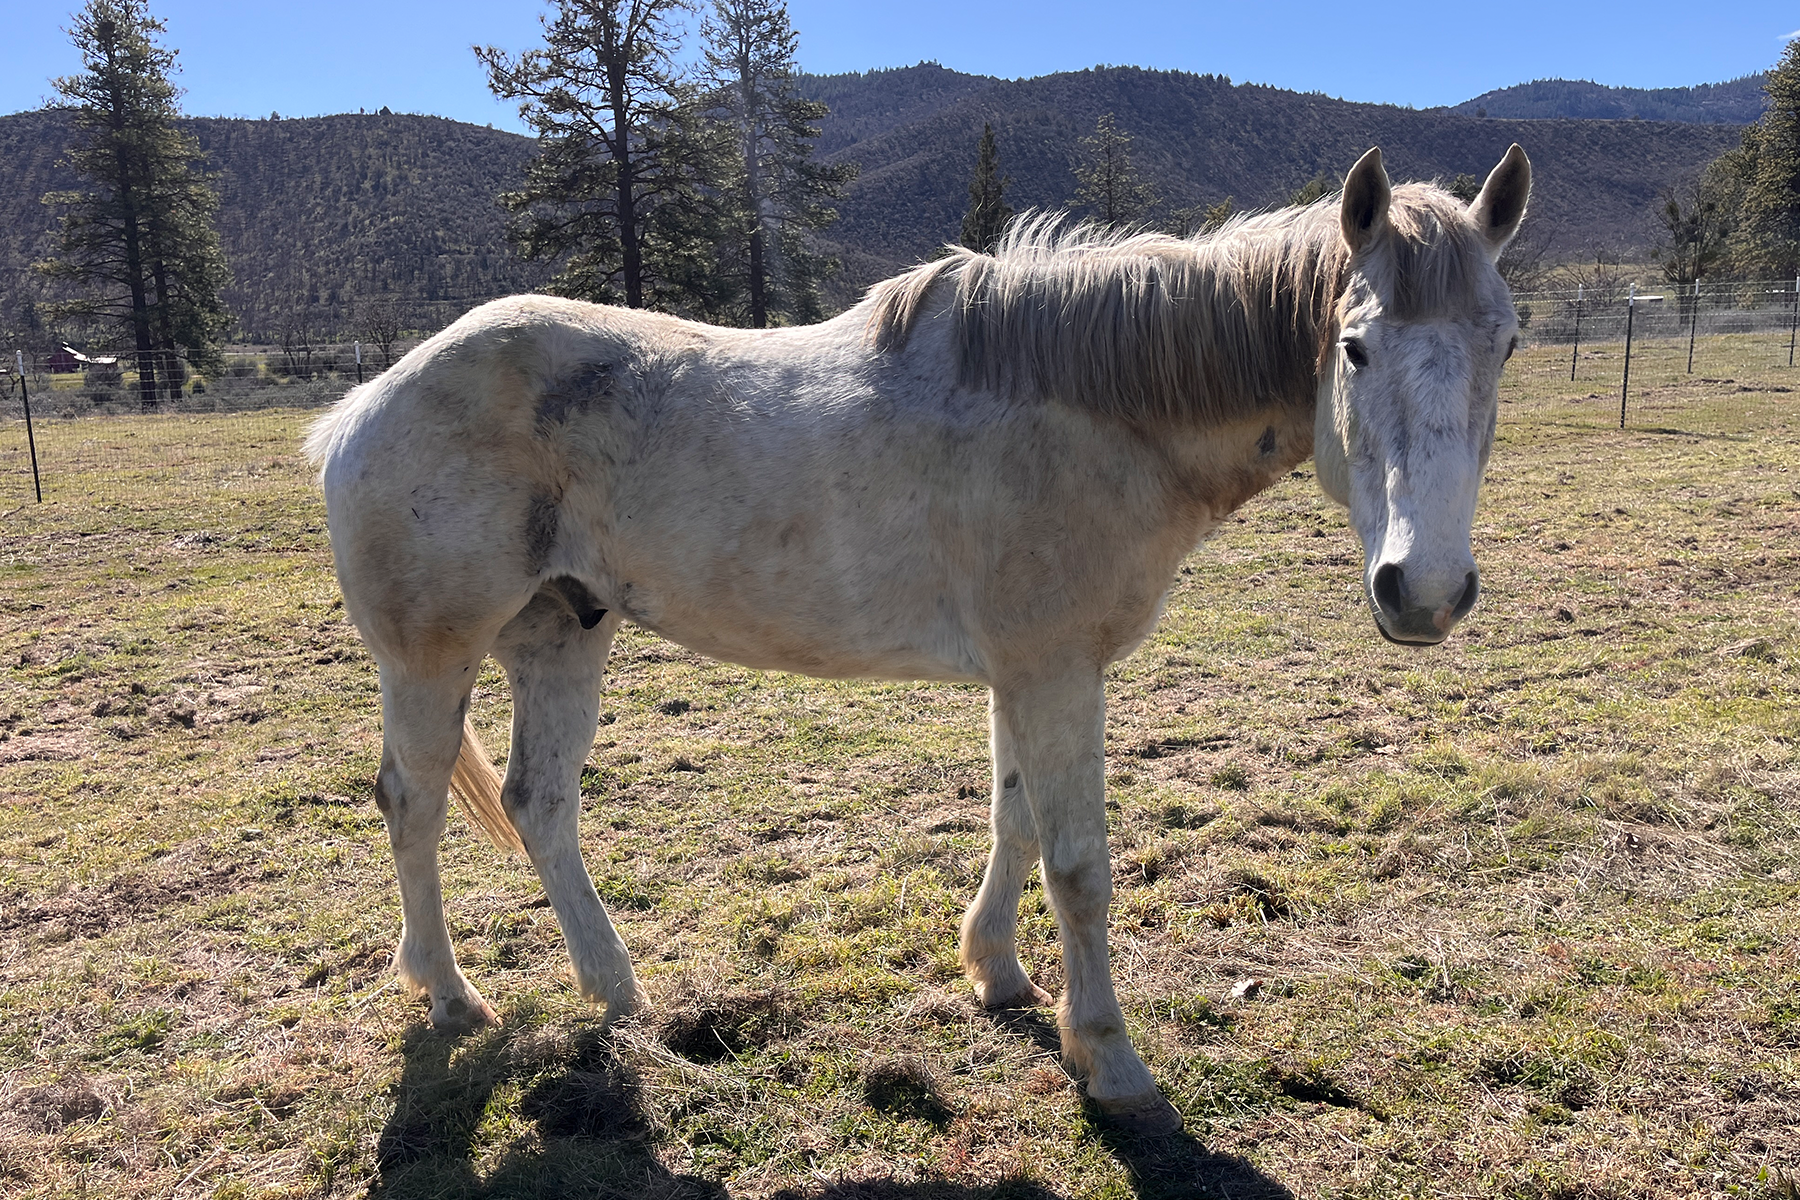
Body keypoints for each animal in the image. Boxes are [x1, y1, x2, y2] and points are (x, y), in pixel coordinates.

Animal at [304, 144, 1531, 1135]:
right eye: (1355, 348)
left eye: (1507, 346)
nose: (1424, 592)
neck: (1097, 408)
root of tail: (366, 401)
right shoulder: (1052, 671)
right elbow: (1077, 862)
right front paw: (1110, 1058)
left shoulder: (1029, 673)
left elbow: (1015, 821)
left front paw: (998, 975)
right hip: (431, 659)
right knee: (412, 805)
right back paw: (451, 996)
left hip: (562, 637)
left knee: (539, 805)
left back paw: (617, 992)